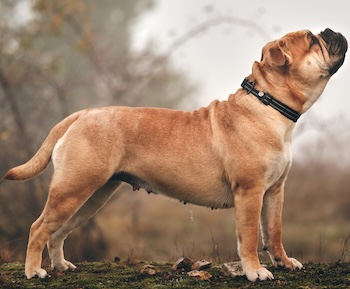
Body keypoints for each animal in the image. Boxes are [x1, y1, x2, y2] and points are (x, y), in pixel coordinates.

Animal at [2, 28, 348, 280]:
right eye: (313, 40)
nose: (331, 30)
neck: (267, 104)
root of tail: (82, 114)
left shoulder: (274, 191)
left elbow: (273, 232)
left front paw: (284, 262)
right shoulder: (250, 192)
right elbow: (250, 237)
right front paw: (255, 271)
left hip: (91, 195)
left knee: (58, 231)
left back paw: (61, 266)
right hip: (74, 188)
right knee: (39, 228)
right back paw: (34, 271)